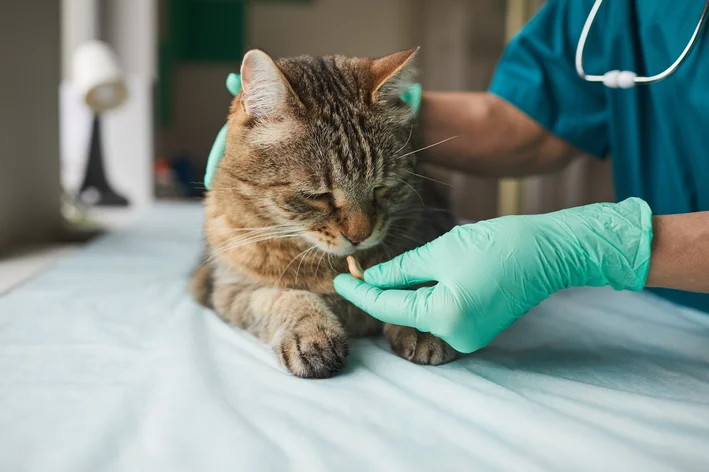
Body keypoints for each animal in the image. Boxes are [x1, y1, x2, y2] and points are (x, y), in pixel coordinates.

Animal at [191, 48, 460, 378]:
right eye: (318, 196)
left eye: (381, 188)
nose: (360, 236)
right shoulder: (227, 288)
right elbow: (285, 297)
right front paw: (312, 333)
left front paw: (422, 319)